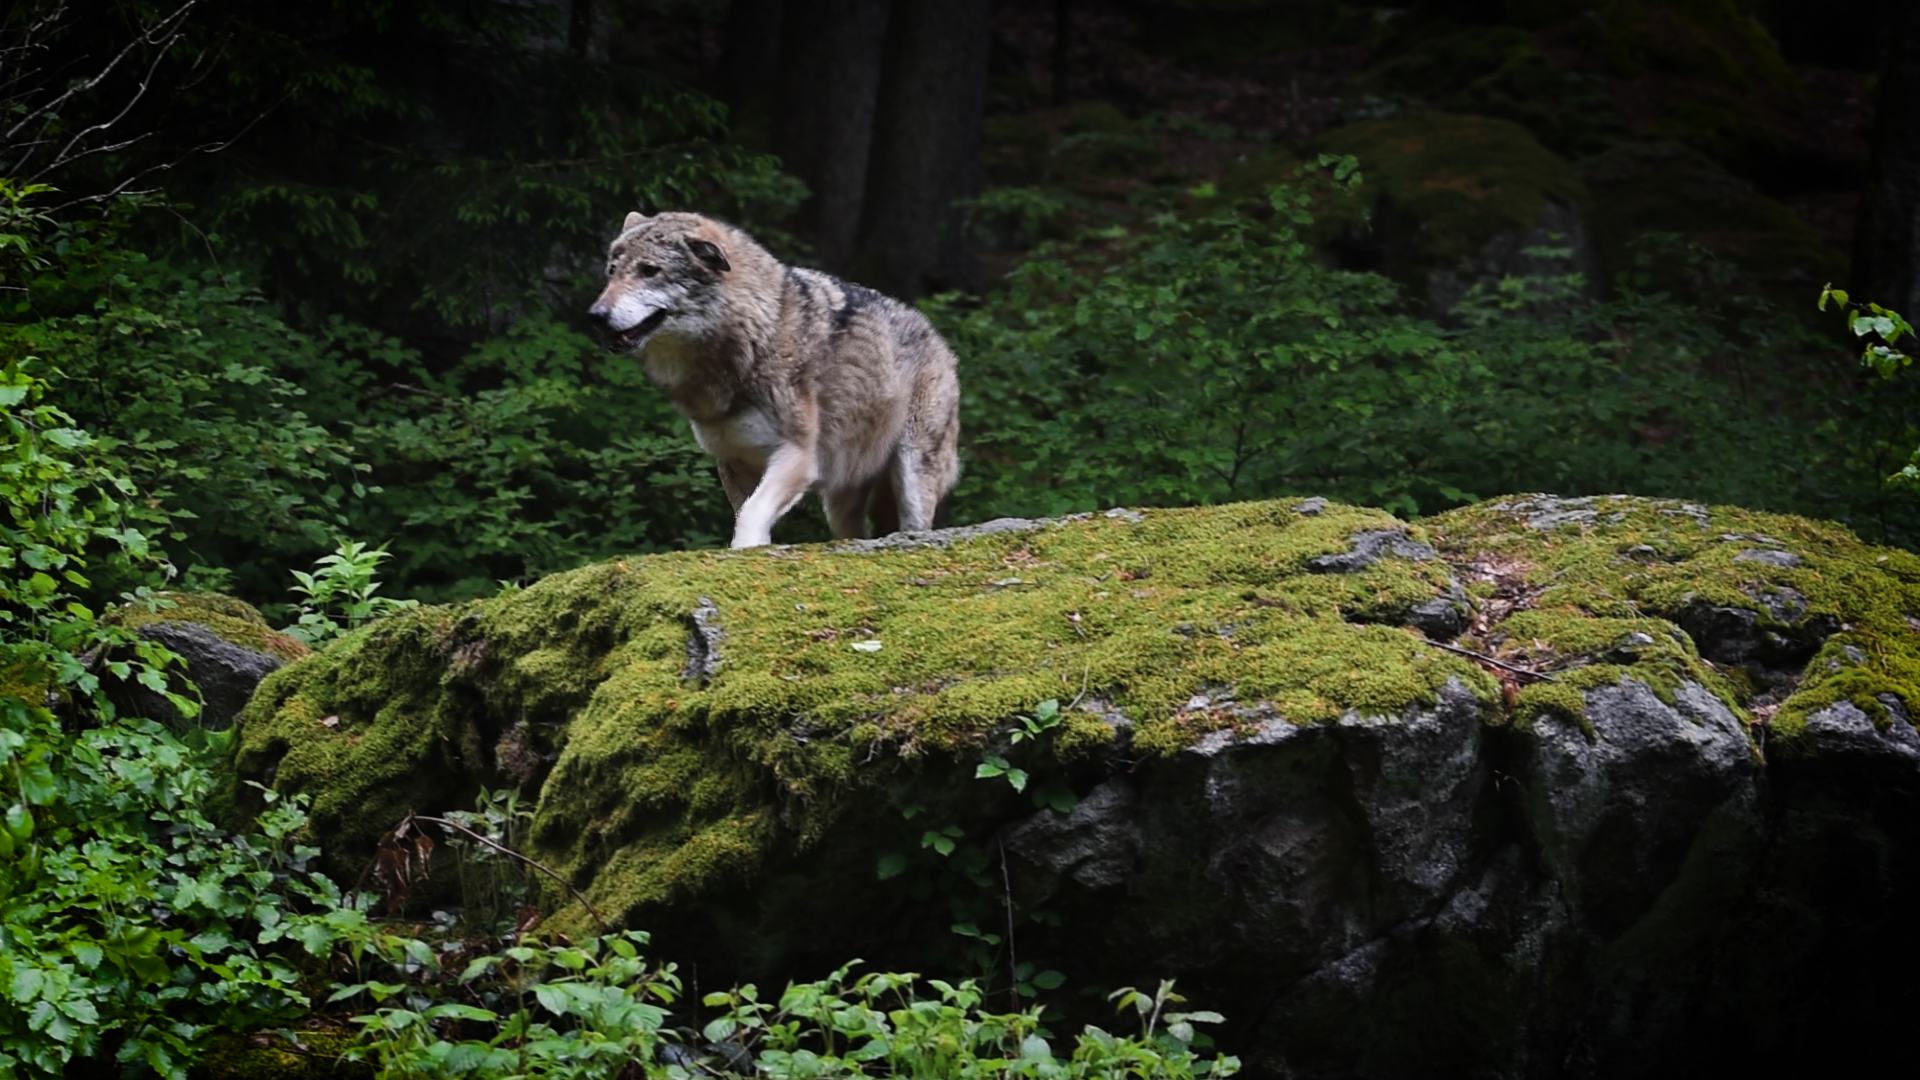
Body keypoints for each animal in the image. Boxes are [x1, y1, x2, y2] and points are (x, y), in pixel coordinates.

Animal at [587, 209, 960, 545]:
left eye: (649, 270)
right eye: (611, 273)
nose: (596, 316)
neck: (756, 339)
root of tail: (939, 340)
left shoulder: (797, 456)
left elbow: (751, 515)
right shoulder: (733, 462)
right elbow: (745, 513)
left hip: (910, 475)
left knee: (916, 527)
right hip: (839, 503)